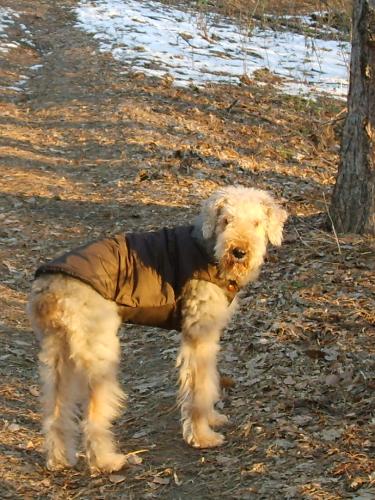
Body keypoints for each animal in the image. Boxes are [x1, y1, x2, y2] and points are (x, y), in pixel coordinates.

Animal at [27, 187, 288, 472]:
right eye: (226, 220)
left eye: (256, 223)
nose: (239, 251)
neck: (207, 249)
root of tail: (50, 288)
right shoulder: (198, 335)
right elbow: (198, 390)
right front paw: (202, 436)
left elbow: (209, 381)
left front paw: (212, 418)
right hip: (99, 356)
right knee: (93, 416)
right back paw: (108, 461)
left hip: (57, 355)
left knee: (55, 410)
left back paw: (60, 459)